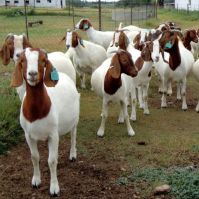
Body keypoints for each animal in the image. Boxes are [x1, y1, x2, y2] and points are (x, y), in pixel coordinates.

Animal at [10, 47, 79, 196]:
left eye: (43, 60)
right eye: (22, 60)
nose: (32, 73)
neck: (36, 113)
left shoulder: (53, 135)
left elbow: (52, 161)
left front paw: (54, 188)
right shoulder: (28, 135)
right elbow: (34, 157)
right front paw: (36, 180)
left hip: (75, 119)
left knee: (73, 135)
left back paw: (72, 154)